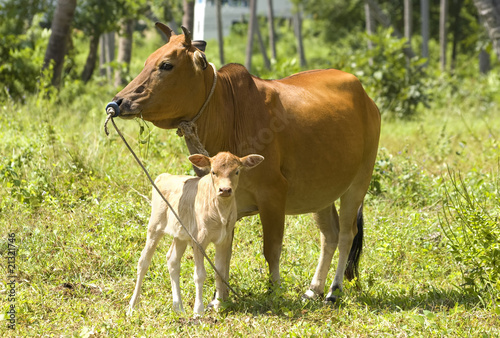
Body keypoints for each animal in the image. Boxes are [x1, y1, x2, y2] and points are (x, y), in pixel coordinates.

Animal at [127, 152, 264, 316]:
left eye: (236, 171)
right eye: (213, 172)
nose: (225, 190)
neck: (220, 212)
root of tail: (164, 176)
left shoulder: (223, 240)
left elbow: (220, 272)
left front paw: (218, 305)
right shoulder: (199, 241)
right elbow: (199, 275)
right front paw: (198, 310)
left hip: (181, 234)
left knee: (172, 260)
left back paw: (178, 307)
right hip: (154, 226)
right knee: (143, 261)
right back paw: (132, 306)